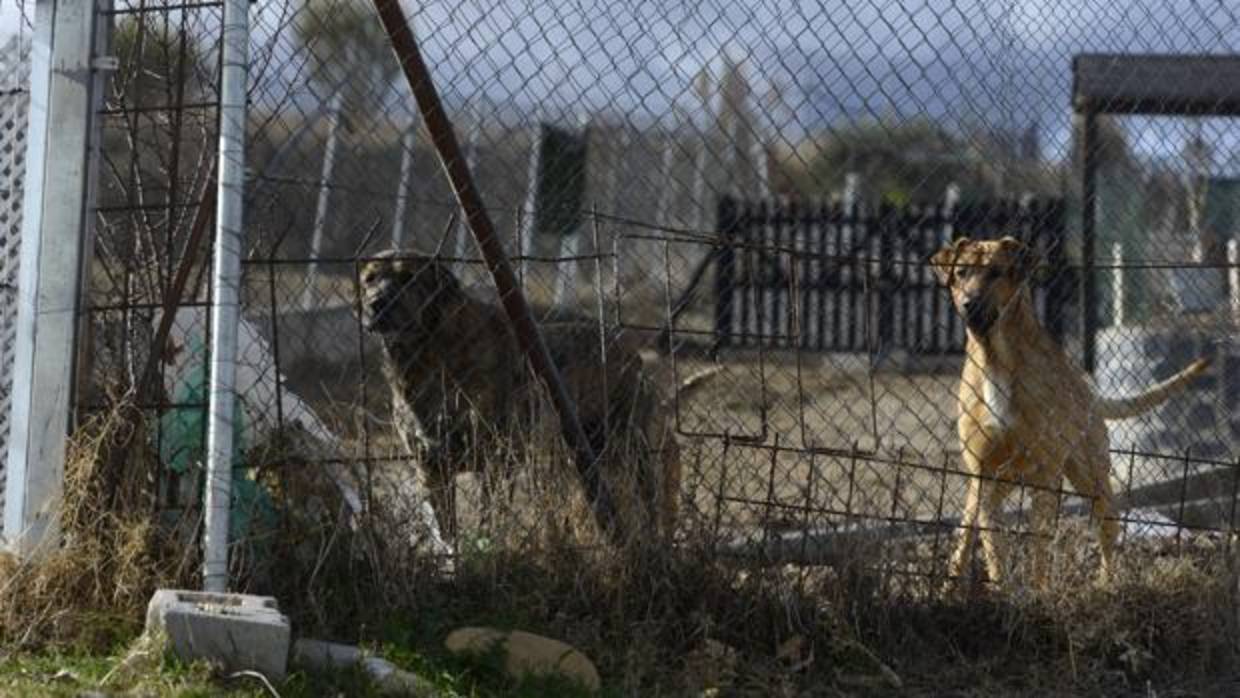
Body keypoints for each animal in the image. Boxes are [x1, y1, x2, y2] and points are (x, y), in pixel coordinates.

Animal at [359, 250, 709, 545]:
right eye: (369, 279)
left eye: (408, 277)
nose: (376, 303)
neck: (427, 355)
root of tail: (631, 354)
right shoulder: (431, 470)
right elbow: (448, 538)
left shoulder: (497, 464)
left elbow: (489, 523)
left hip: (638, 462)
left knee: (652, 517)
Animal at [932, 238, 1210, 587]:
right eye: (961, 272)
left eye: (996, 272)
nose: (970, 304)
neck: (996, 358)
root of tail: (1088, 392)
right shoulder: (982, 473)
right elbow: (993, 545)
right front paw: (999, 584)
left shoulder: (1046, 476)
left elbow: (1039, 548)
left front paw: (1037, 591)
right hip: (993, 484)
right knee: (967, 532)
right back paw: (949, 584)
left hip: (1092, 479)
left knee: (1108, 530)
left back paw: (1106, 584)